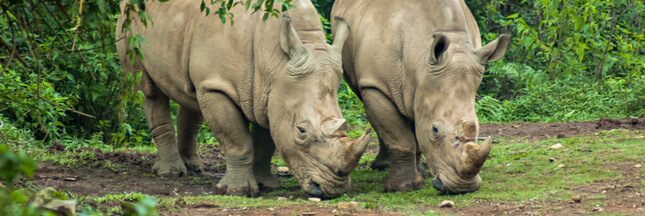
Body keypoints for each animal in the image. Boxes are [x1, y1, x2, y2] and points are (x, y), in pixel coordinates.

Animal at [115, 0, 372, 198]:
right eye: (301, 131)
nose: (334, 190)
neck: (277, 60)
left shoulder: (271, 93)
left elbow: (266, 142)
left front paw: (267, 185)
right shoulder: (220, 86)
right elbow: (237, 141)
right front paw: (237, 191)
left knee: (192, 94)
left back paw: (194, 167)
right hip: (130, 22)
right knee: (148, 90)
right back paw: (171, 173)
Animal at [332, 0, 508, 192]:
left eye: (477, 127)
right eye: (435, 129)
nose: (463, 187)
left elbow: (417, 130)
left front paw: (419, 174)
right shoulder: (375, 84)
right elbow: (399, 136)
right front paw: (403, 187)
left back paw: (420, 169)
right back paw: (383, 166)